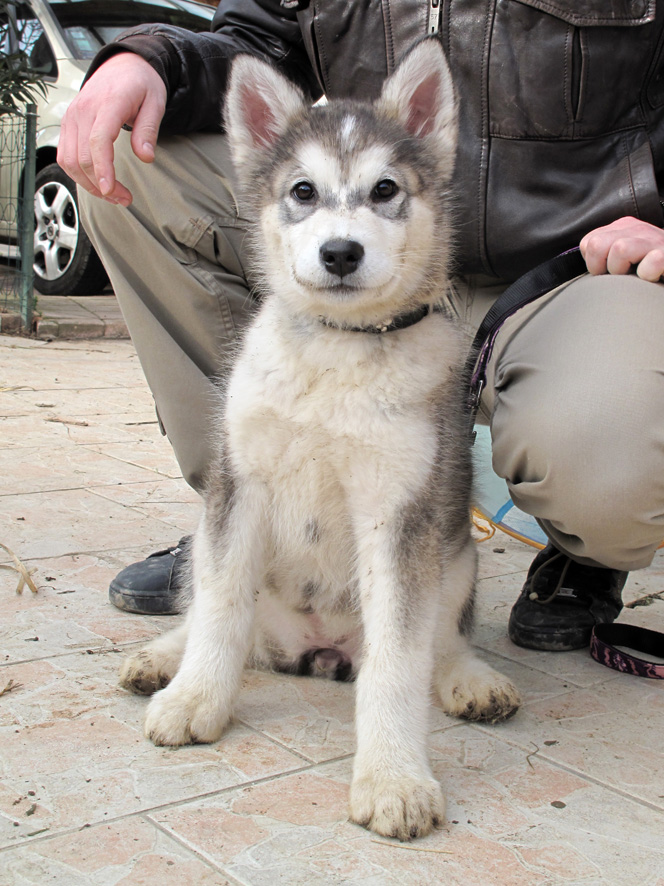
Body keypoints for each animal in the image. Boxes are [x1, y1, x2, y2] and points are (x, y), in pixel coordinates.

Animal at [122, 41, 520, 844]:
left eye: (386, 189)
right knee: (215, 609)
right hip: (211, 530)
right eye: (302, 191)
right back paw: (163, 661)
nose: (340, 252)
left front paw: (394, 778)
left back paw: (470, 678)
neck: (338, 354)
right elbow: (221, 608)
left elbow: (399, 661)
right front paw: (195, 698)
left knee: (442, 639)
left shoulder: (400, 513)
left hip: (455, 553)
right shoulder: (238, 486)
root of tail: (313, 647)